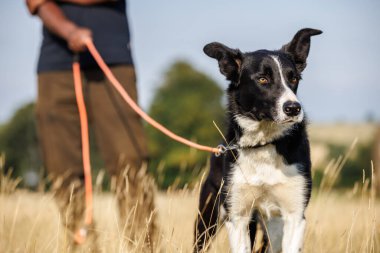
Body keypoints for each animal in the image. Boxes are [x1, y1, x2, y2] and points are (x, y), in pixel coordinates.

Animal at [194, 28, 322, 252]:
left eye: (294, 78)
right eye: (262, 79)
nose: (293, 108)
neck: (263, 143)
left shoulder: (294, 215)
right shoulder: (238, 216)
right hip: (208, 219)